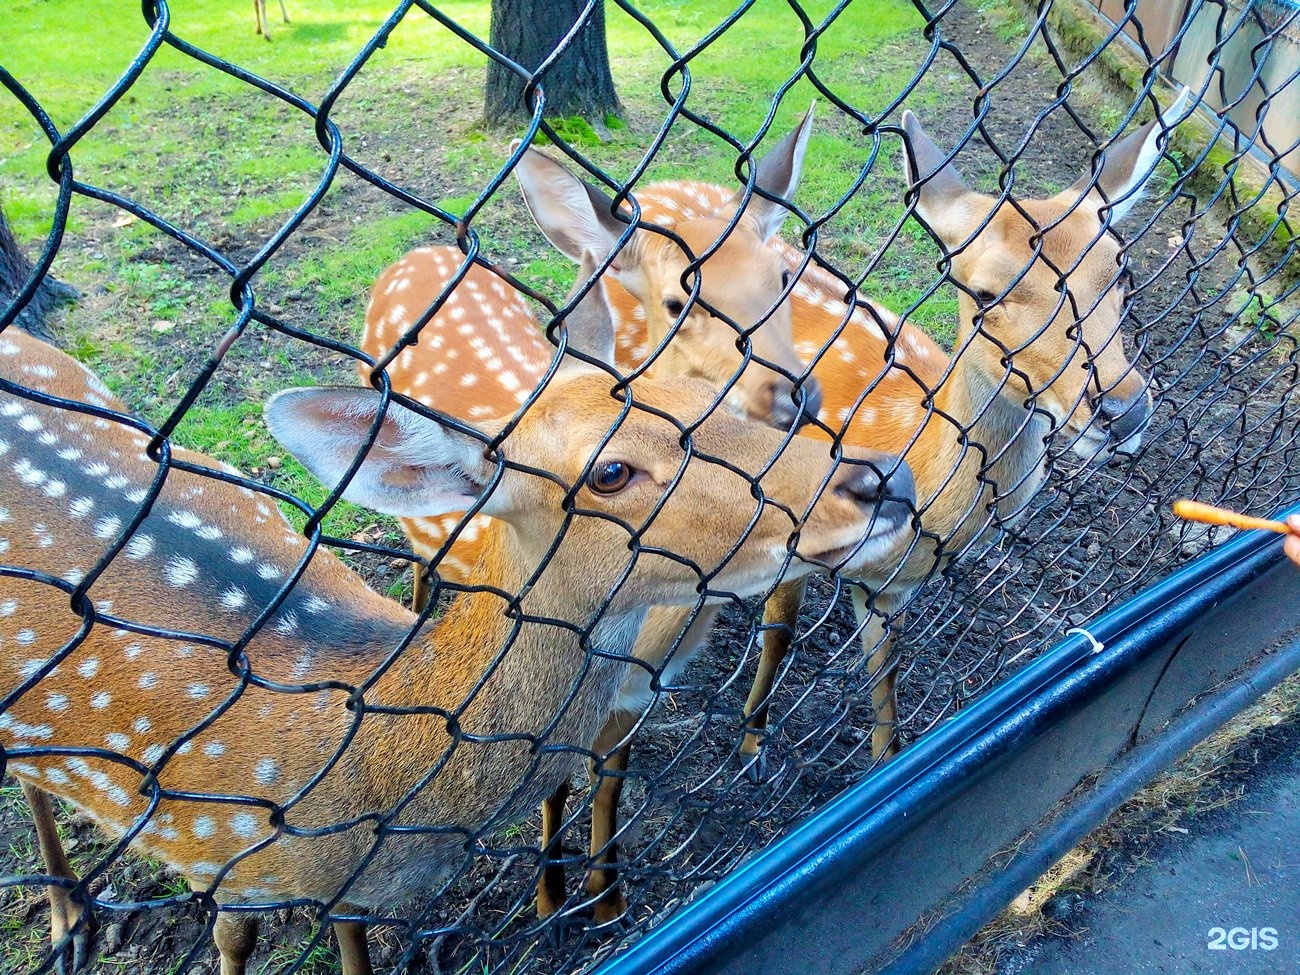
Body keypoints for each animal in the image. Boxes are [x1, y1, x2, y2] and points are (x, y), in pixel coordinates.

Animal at [0, 248, 909, 972]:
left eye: (697, 392)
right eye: (610, 472)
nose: (880, 478)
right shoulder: (217, 858)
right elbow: (232, 944)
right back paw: (68, 915)